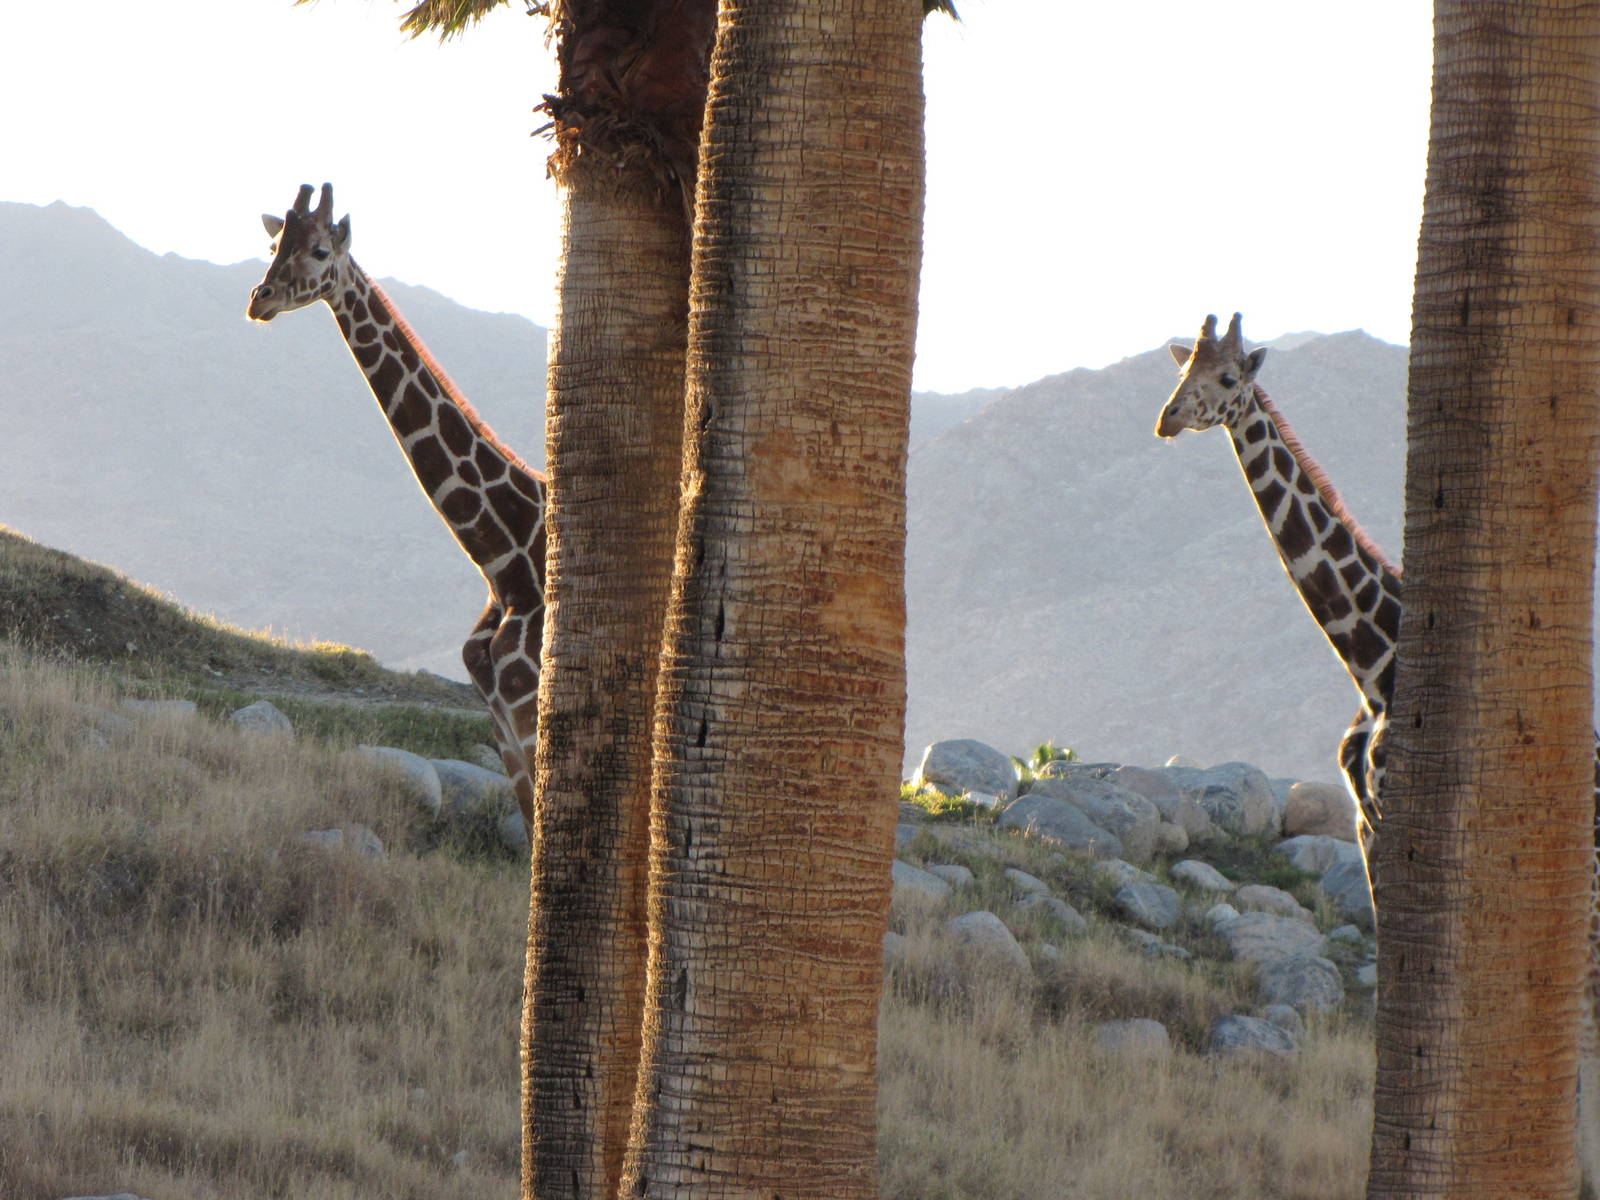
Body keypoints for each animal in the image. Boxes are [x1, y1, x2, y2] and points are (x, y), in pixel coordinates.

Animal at [246, 183, 544, 831]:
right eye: (274, 245)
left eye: (320, 249)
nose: (261, 299)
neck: (505, 560)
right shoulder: (503, 726)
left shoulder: (532, 707)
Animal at [1157, 310, 1600, 1189]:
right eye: (1182, 366)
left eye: (1228, 379)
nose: (1166, 418)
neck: (1373, 662)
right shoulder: (1369, 825)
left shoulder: (1412, 816)